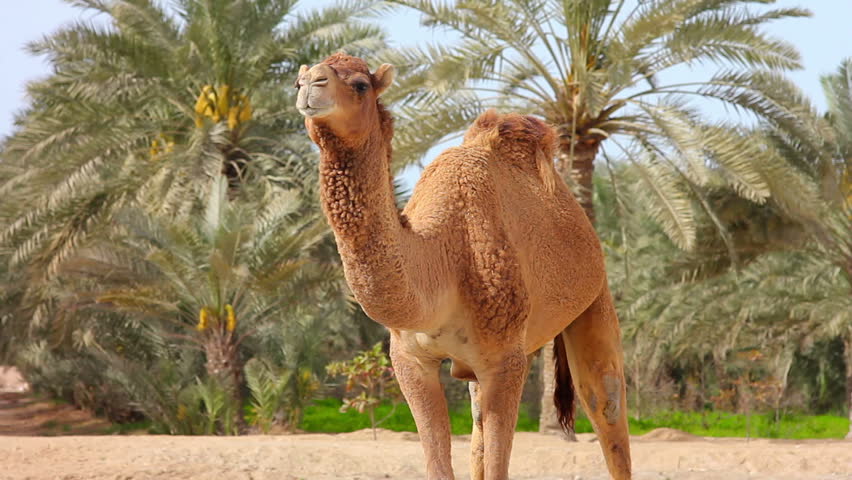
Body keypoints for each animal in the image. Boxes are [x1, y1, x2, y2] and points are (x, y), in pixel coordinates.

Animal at [296, 53, 628, 480]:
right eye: (297, 81)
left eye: (360, 84)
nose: (311, 85)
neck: (442, 262)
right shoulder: (410, 359)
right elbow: (440, 463)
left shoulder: (505, 360)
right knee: (477, 421)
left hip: (594, 295)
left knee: (606, 400)